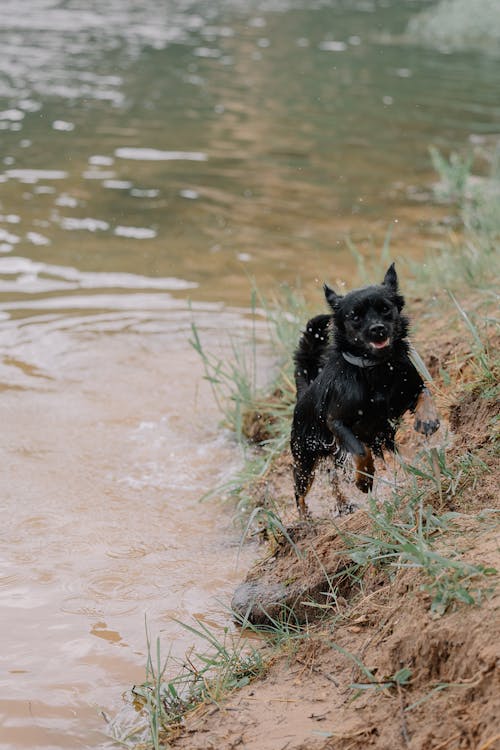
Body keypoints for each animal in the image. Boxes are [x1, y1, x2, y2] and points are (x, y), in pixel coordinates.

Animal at [292, 264, 440, 516]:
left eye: (385, 309)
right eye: (355, 316)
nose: (377, 329)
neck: (376, 368)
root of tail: (304, 394)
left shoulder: (409, 391)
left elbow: (425, 394)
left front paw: (428, 420)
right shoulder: (337, 422)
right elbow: (360, 450)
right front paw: (364, 479)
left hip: (377, 441)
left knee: (335, 477)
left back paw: (343, 504)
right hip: (306, 458)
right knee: (300, 490)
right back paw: (304, 518)